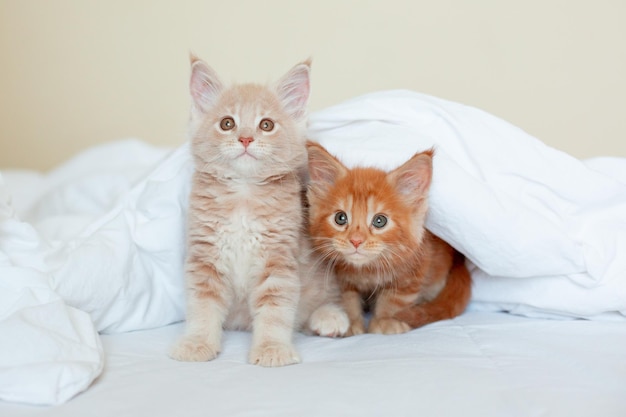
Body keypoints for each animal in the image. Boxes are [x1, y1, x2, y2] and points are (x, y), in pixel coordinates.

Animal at [168, 56, 348, 368]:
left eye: (266, 124)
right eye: (227, 123)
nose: (245, 139)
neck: (244, 193)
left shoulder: (278, 260)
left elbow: (275, 311)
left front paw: (272, 349)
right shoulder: (205, 258)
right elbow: (202, 308)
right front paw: (197, 343)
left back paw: (329, 317)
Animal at [304, 142, 470, 334]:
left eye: (379, 221)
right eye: (340, 218)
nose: (356, 240)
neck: (367, 270)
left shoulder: (416, 268)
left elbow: (395, 299)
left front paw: (385, 320)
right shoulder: (339, 278)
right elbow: (347, 298)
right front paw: (351, 322)